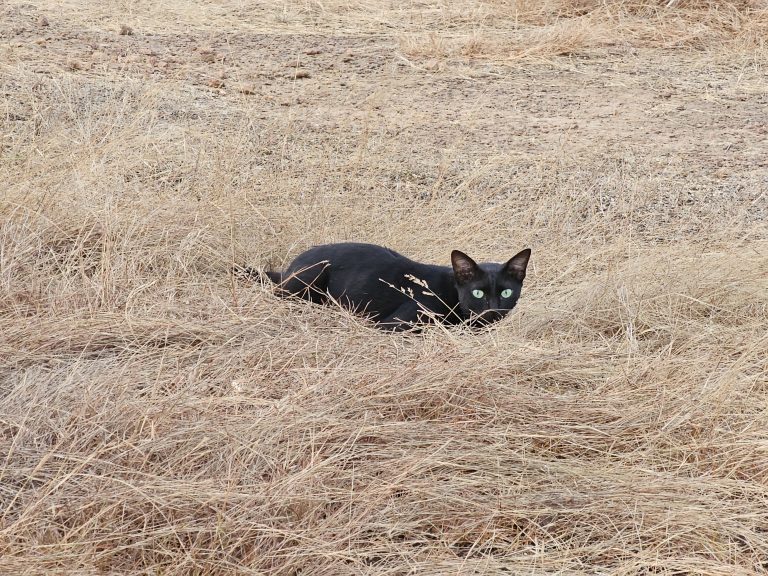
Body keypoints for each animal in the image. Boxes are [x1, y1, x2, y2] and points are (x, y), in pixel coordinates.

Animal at [244, 243, 528, 332]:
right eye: (478, 292)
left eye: (506, 292)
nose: (493, 310)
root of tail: (291, 266)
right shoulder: (395, 325)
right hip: (310, 280)